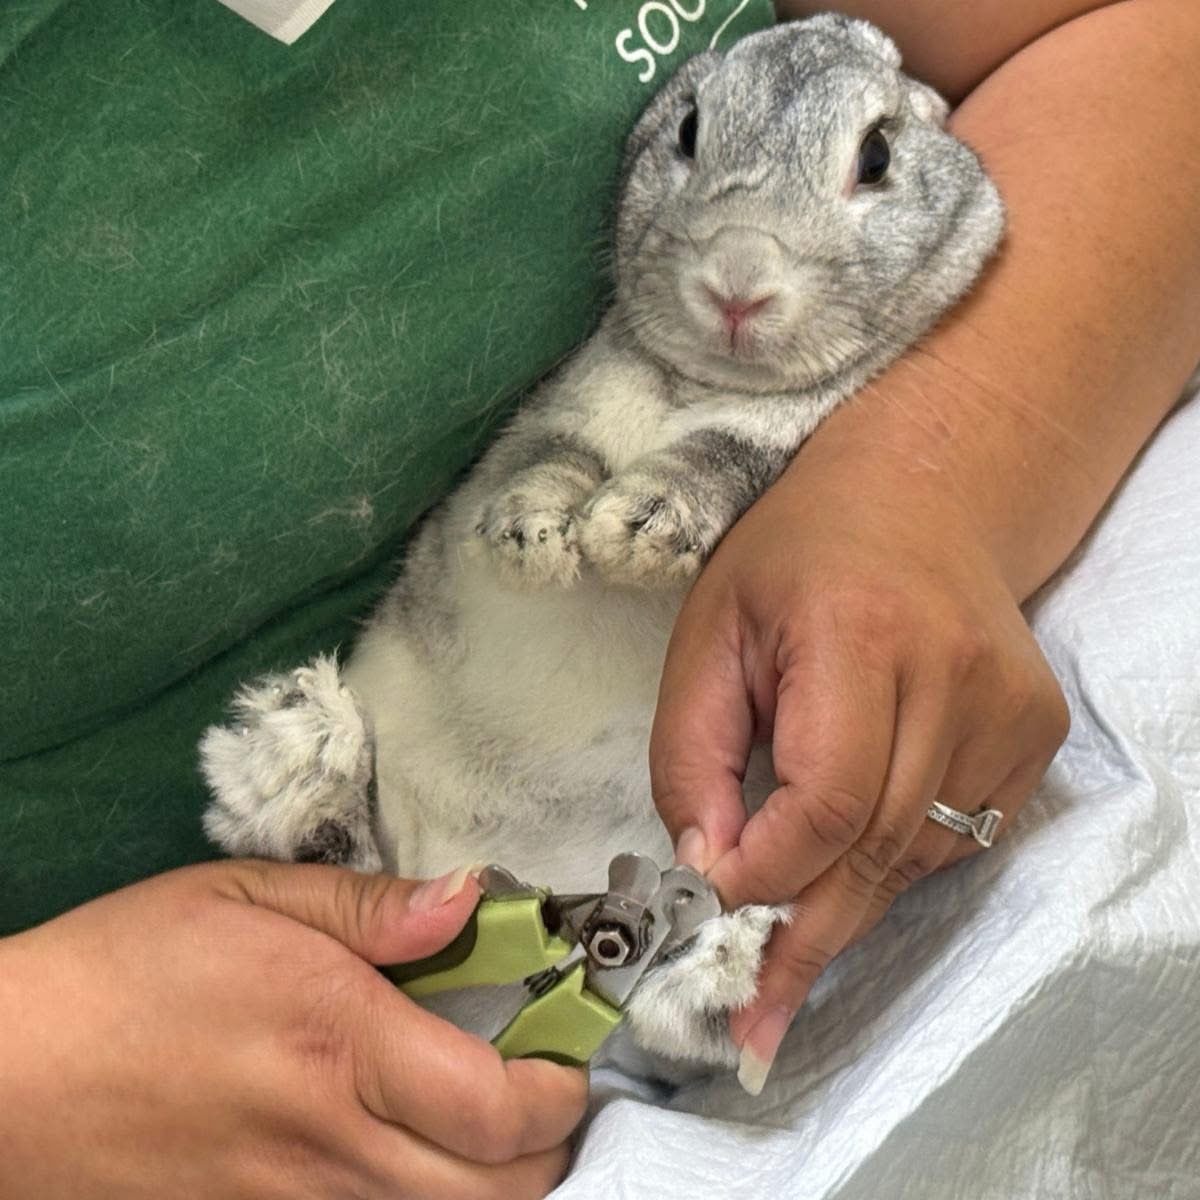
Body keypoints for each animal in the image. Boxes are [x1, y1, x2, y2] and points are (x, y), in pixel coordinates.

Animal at [199, 14, 1005, 1078]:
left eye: (876, 155)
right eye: (691, 129)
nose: (738, 283)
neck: (701, 379)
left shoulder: (776, 438)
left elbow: (718, 460)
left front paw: (635, 532)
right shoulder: (567, 408)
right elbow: (548, 462)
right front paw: (539, 540)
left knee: (669, 1013)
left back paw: (727, 958)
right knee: (354, 855)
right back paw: (298, 764)